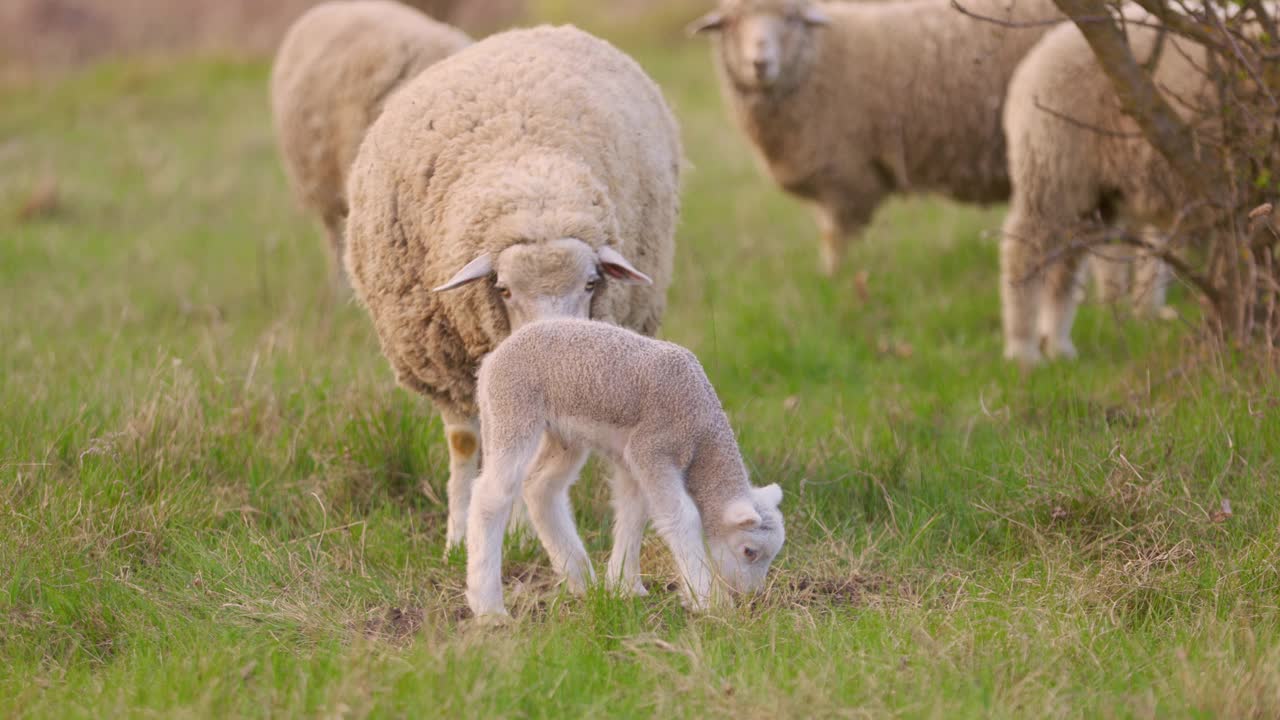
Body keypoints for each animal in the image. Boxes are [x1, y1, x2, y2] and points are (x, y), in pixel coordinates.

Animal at [340, 22, 680, 548]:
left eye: (591, 283)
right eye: (502, 289)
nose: (560, 353)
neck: (532, 188)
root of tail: (542, 27)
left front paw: (520, 532)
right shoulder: (447, 362)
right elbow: (465, 443)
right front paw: (458, 533)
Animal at [468, 316, 783, 614]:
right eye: (749, 551)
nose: (752, 596)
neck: (701, 437)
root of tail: (492, 361)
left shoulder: (633, 459)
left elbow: (634, 512)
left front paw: (625, 586)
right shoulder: (652, 448)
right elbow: (681, 517)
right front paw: (710, 601)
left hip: (562, 436)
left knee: (540, 487)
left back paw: (580, 578)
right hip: (512, 411)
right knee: (490, 497)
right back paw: (489, 606)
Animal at [691, 0, 1059, 274]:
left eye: (791, 19)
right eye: (731, 23)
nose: (760, 62)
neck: (818, 61)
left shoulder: (846, 178)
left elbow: (835, 243)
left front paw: (833, 280)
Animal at [998, 15, 1208, 363]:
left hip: (1094, 192)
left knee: (1066, 264)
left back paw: (1058, 346)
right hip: (1054, 166)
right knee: (1024, 250)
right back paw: (1022, 350)